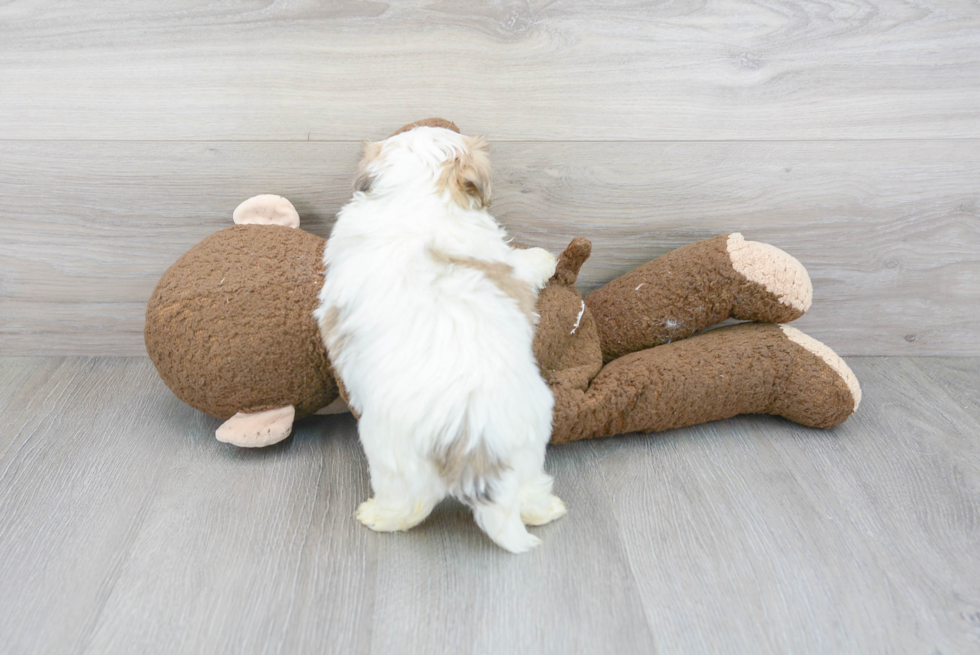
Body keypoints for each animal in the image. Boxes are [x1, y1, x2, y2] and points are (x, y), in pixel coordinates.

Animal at [318, 124, 568, 552]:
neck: (418, 197)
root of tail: (475, 438)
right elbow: (520, 265)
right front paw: (544, 259)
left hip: (391, 455)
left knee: (411, 505)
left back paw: (377, 516)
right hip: (527, 443)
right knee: (527, 491)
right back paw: (547, 508)